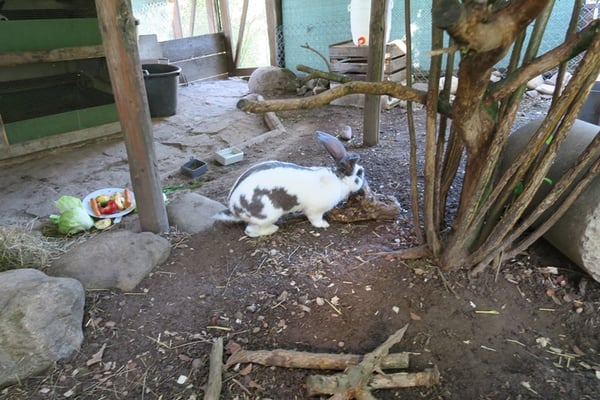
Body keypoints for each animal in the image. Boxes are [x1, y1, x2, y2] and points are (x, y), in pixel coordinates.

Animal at [213, 131, 365, 237]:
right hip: (267, 214)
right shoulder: (315, 210)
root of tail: (234, 208)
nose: (364, 181)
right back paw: (273, 229)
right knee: (250, 231)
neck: (339, 180)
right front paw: (323, 225)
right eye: (359, 174)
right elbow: (315, 219)